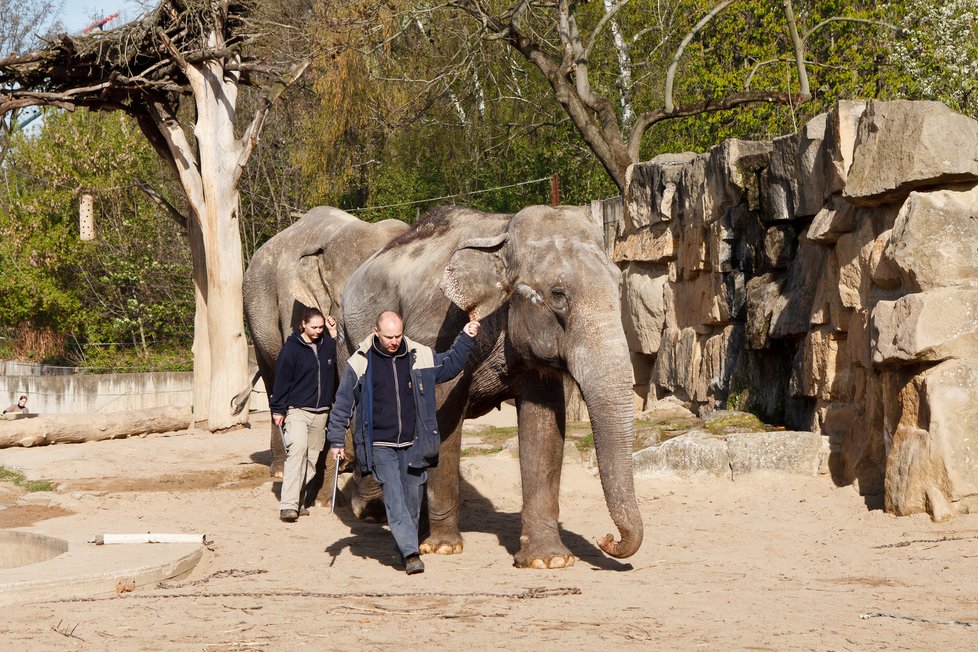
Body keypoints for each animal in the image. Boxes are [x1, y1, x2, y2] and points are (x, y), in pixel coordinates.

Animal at [340, 205, 644, 572]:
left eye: (618, 285)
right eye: (558, 295)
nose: (607, 539)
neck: (502, 234)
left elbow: (543, 424)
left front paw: (548, 560)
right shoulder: (438, 327)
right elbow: (439, 414)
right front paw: (444, 548)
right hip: (349, 335)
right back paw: (373, 512)